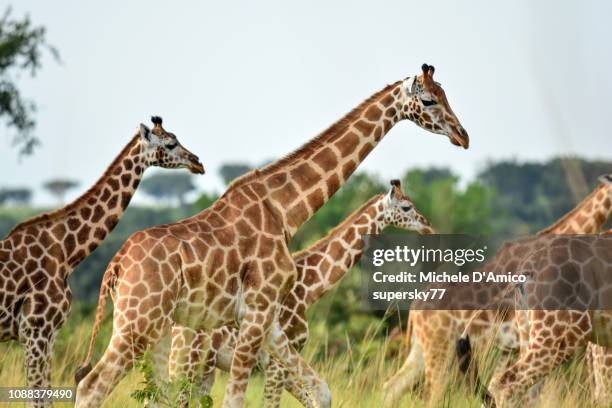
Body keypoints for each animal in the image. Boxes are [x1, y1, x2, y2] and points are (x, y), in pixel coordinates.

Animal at [160, 180, 436, 406]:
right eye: (407, 207)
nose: (428, 226)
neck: (310, 289)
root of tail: (174, 326)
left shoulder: (283, 364)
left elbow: (313, 399)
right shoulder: (275, 365)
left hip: (204, 369)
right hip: (186, 364)